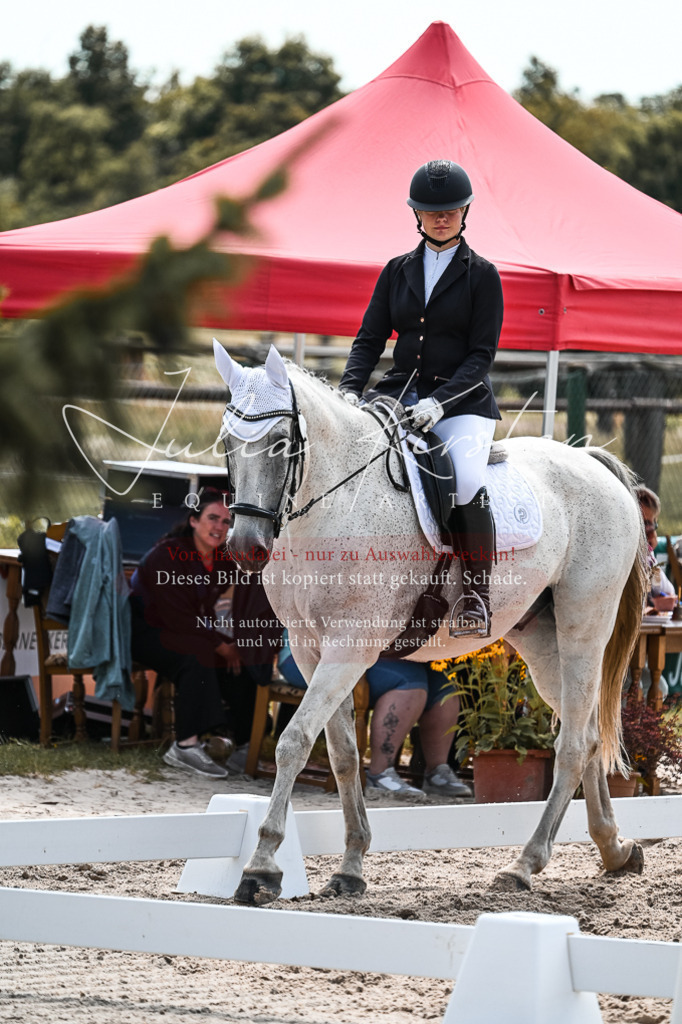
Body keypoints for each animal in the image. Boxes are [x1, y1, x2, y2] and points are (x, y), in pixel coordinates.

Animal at [213, 340, 648, 905]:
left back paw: (524, 866)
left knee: (571, 744)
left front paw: (261, 869)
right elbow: (343, 753)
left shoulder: (350, 648)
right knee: (589, 733)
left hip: (584, 626)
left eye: (280, 442)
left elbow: (294, 742)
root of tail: (591, 461)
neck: (336, 504)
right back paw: (615, 850)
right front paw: (351, 867)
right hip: (540, 638)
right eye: (228, 441)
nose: (247, 548)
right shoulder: (312, 651)